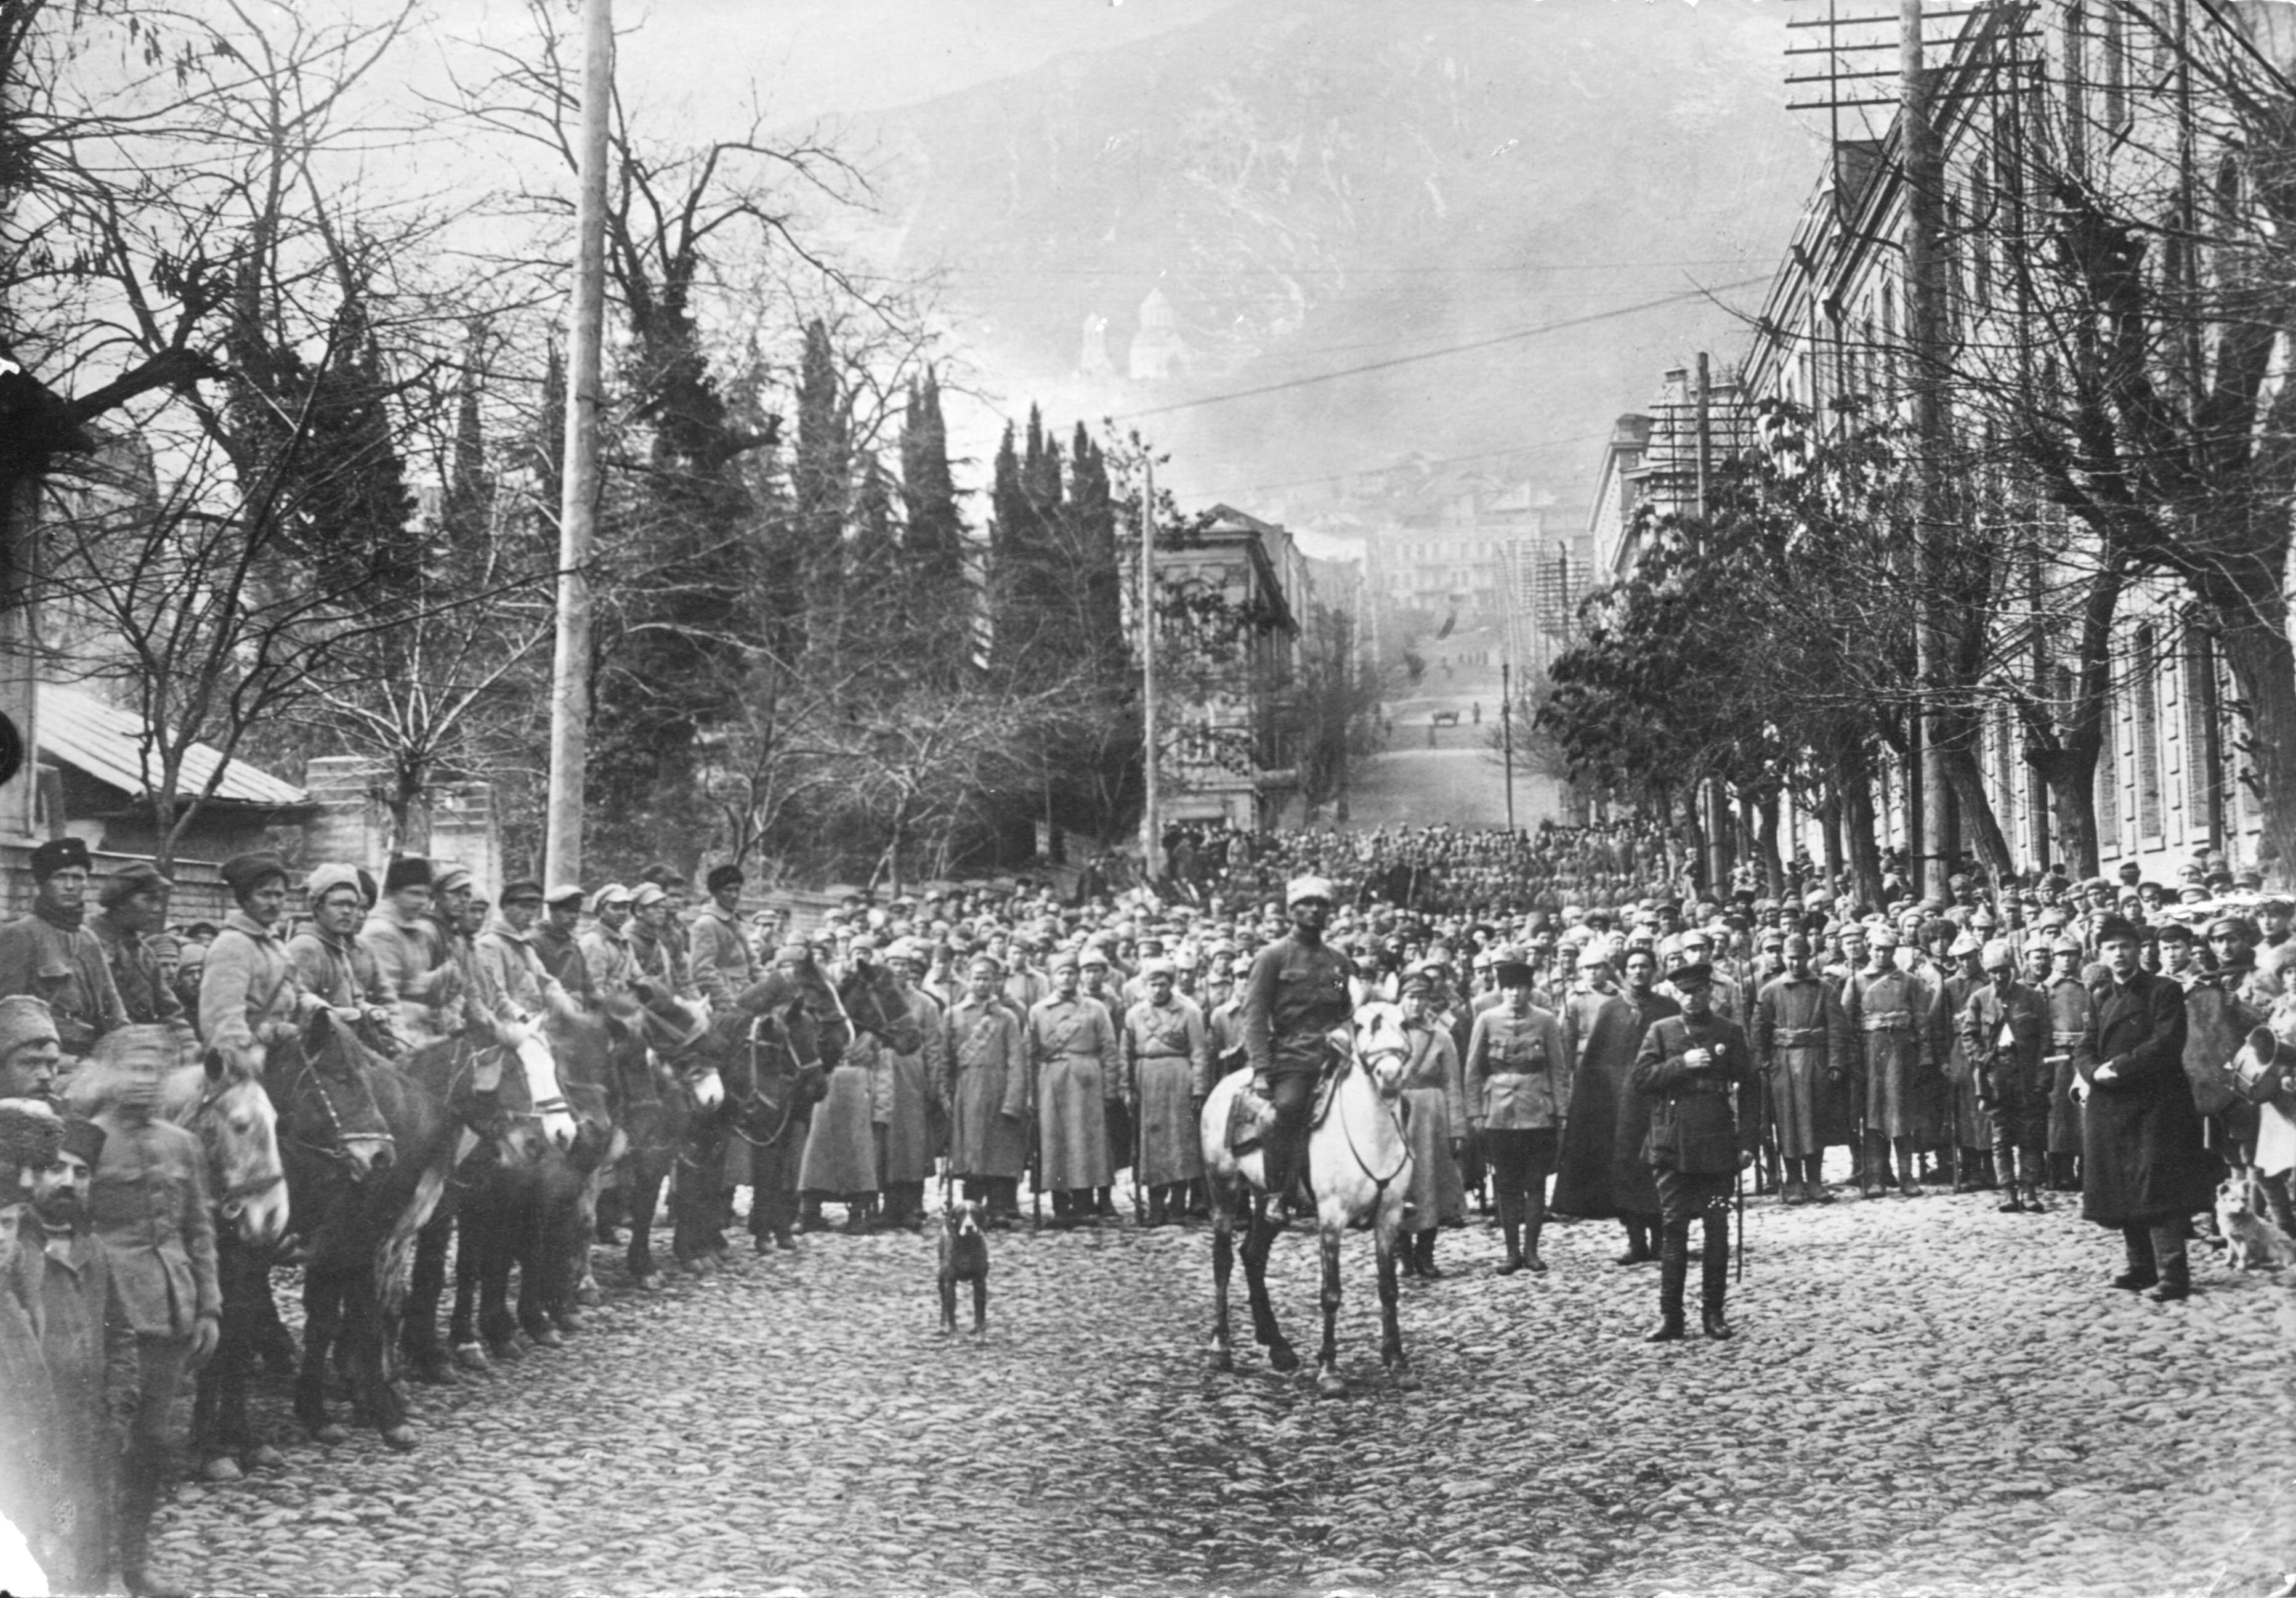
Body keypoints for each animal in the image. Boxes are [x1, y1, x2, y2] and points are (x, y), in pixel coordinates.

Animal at [937, 1194, 992, 1331]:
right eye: (960, 1213)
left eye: (975, 1212)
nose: (969, 1227)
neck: (967, 1245)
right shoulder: (950, 1283)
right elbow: (951, 1311)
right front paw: (953, 1333)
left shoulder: (980, 1281)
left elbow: (980, 1308)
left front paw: (980, 1330)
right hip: (941, 1281)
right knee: (943, 1303)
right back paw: (942, 1325)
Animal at [1203, 1000, 1414, 1396]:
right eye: (1359, 1026)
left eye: (1406, 1023)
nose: (1390, 1075)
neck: (1372, 1133)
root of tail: (1225, 1084)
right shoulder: (1331, 1217)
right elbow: (1331, 1293)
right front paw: (1329, 1370)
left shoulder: (1390, 1216)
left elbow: (1389, 1289)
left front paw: (1396, 1361)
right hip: (1223, 1188)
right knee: (1223, 1261)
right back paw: (1220, 1348)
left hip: (1265, 1199)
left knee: (1253, 1254)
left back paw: (1278, 1347)